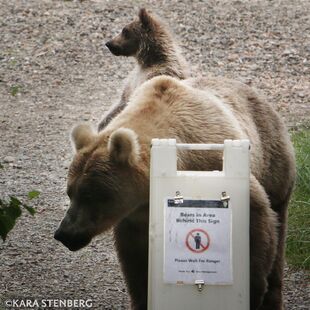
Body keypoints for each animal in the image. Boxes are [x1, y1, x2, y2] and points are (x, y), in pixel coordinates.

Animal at [55, 75, 296, 310]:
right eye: (70, 192)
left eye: (90, 195)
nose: (64, 234)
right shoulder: (135, 218)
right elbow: (136, 264)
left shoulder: (216, 165)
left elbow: (253, 226)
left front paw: (252, 292)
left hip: (272, 162)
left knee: (277, 227)